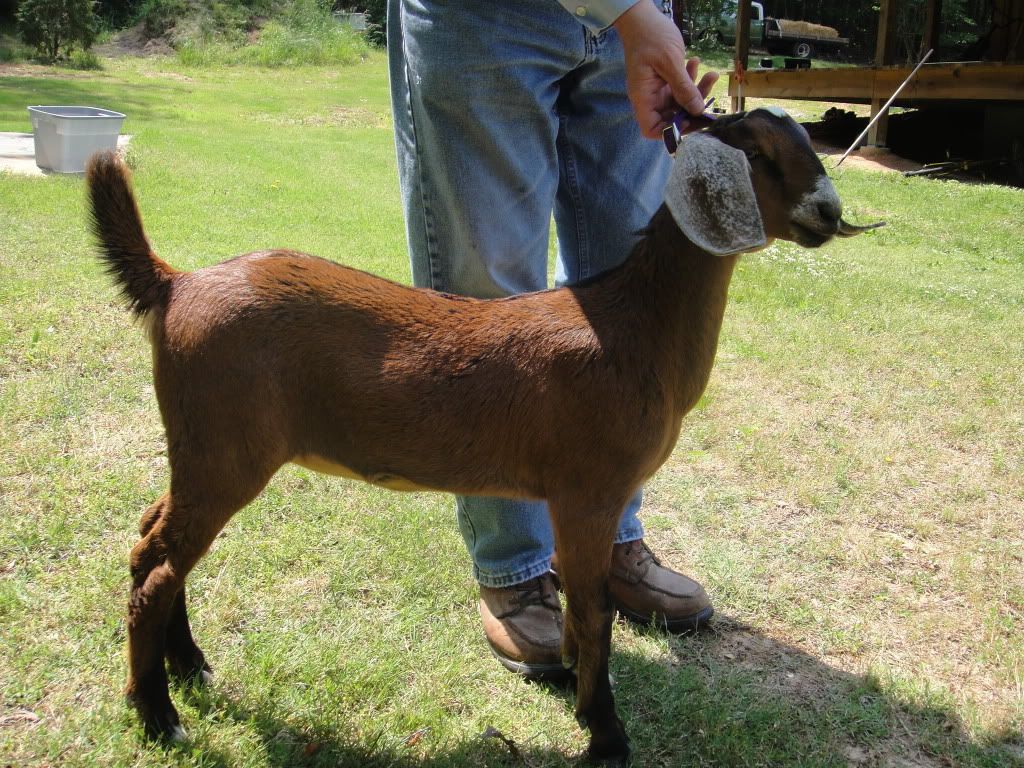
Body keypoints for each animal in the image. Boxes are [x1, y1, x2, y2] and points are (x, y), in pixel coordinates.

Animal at [87, 107, 877, 765]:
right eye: (763, 155)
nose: (830, 212)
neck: (630, 324)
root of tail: (175, 284)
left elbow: (585, 610)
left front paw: (577, 689)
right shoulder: (587, 490)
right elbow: (595, 613)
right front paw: (605, 733)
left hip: (201, 450)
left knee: (150, 541)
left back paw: (188, 667)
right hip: (225, 450)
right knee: (157, 570)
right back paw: (158, 716)